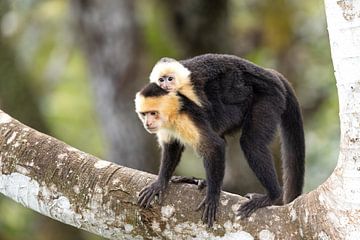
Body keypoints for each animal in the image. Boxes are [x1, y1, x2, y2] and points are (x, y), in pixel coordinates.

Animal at [136, 53, 306, 227]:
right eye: (144, 114)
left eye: (153, 113)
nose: (147, 123)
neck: (172, 113)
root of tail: (271, 74)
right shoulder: (166, 126)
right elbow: (172, 147)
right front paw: (160, 183)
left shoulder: (187, 112)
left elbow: (214, 146)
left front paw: (212, 196)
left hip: (269, 98)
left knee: (251, 143)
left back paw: (271, 195)